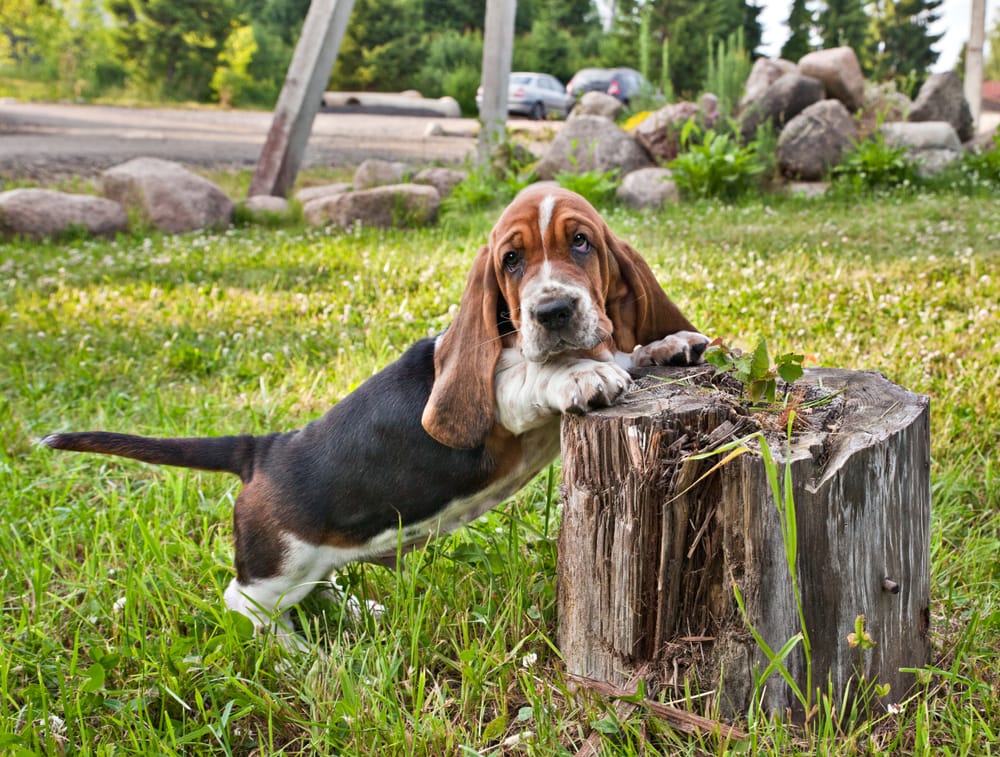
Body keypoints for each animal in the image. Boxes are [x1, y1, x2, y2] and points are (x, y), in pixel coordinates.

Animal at [41, 186, 712, 648]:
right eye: (511, 261)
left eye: (582, 243)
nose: (551, 311)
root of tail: (260, 449)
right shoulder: (498, 398)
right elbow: (534, 376)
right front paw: (580, 373)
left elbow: (620, 348)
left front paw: (664, 345)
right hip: (279, 564)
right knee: (245, 602)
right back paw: (298, 654)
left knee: (317, 587)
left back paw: (353, 612)